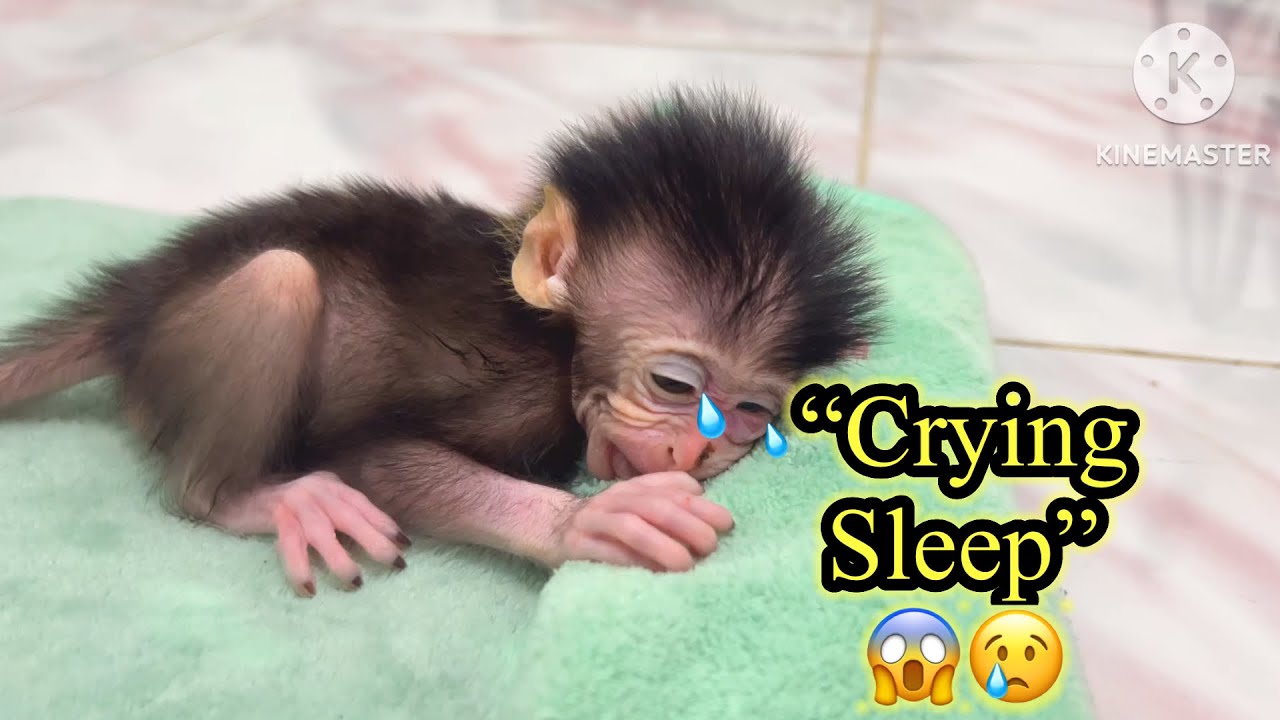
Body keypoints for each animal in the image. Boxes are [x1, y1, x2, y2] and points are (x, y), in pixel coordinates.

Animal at [0, 87, 882, 597]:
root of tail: (142, 289)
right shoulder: (518, 393)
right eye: (673, 385)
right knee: (278, 283)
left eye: (748, 415)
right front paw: (583, 525)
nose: (694, 453)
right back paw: (258, 497)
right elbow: (376, 457)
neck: (556, 342)